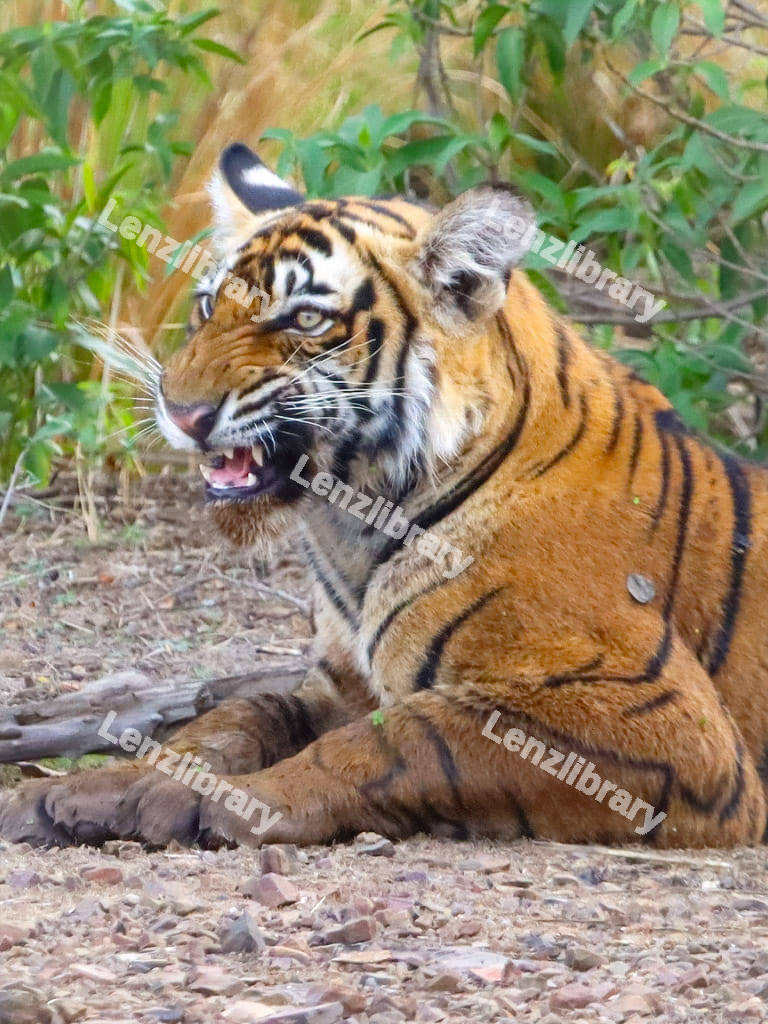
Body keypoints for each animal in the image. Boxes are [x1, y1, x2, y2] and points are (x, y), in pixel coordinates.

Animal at [2, 141, 767, 850]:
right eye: (208, 306)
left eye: (306, 321)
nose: (182, 412)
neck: (352, 523)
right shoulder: (339, 683)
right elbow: (241, 713)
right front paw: (98, 788)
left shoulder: (670, 725)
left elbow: (400, 740)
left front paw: (213, 804)